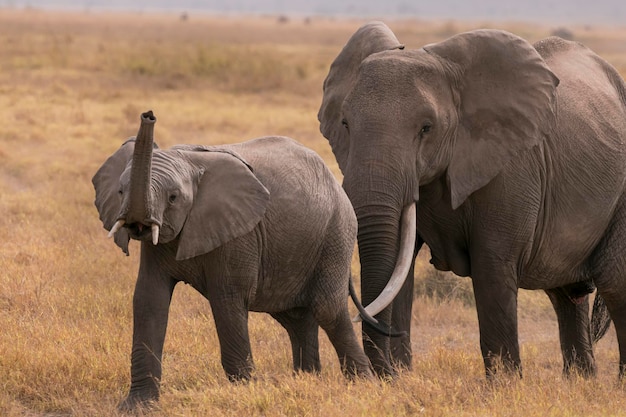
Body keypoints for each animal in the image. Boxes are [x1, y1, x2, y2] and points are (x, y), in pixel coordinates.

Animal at [92, 110, 376, 410]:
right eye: (120, 192)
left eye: (173, 198)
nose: (148, 115)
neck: (188, 161)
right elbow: (149, 299)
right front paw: (137, 406)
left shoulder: (240, 234)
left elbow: (227, 300)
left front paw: (245, 393)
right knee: (297, 318)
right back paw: (307, 381)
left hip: (336, 233)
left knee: (328, 309)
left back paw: (364, 385)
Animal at [320, 23, 620, 380]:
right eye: (345, 124)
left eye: (426, 128)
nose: (386, 374)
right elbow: (399, 266)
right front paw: (404, 378)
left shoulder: (512, 169)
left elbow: (491, 265)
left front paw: (505, 384)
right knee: (567, 294)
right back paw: (580, 380)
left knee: (615, 284)